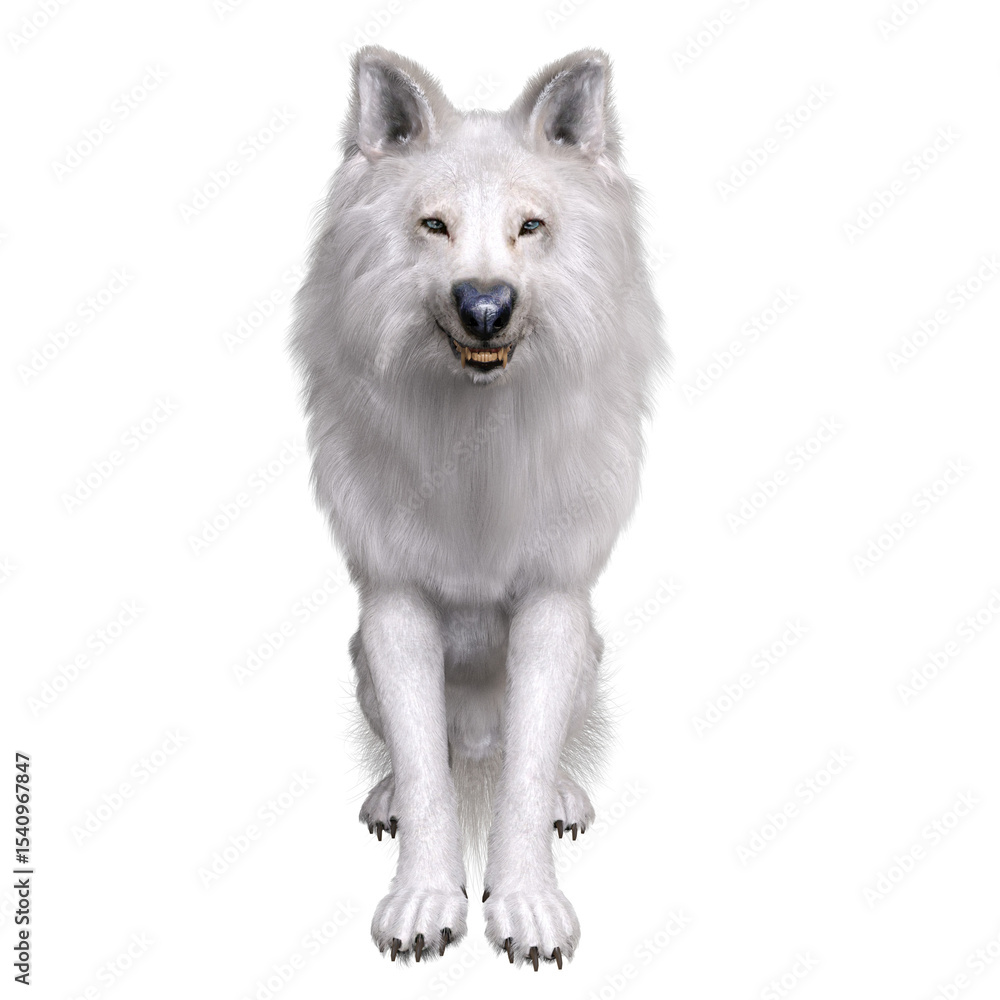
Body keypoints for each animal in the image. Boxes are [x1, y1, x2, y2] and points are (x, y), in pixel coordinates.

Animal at [290, 46, 666, 969]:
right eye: (434, 226)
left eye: (531, 226)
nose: (485, 306)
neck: (475, 436)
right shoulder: (394, 604)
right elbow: (429, 775)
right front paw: (424, 900)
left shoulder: (554, 600)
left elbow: (526, 775)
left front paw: (528, 905)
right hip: (360, 660)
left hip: (588, 650)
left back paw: (564, 792)